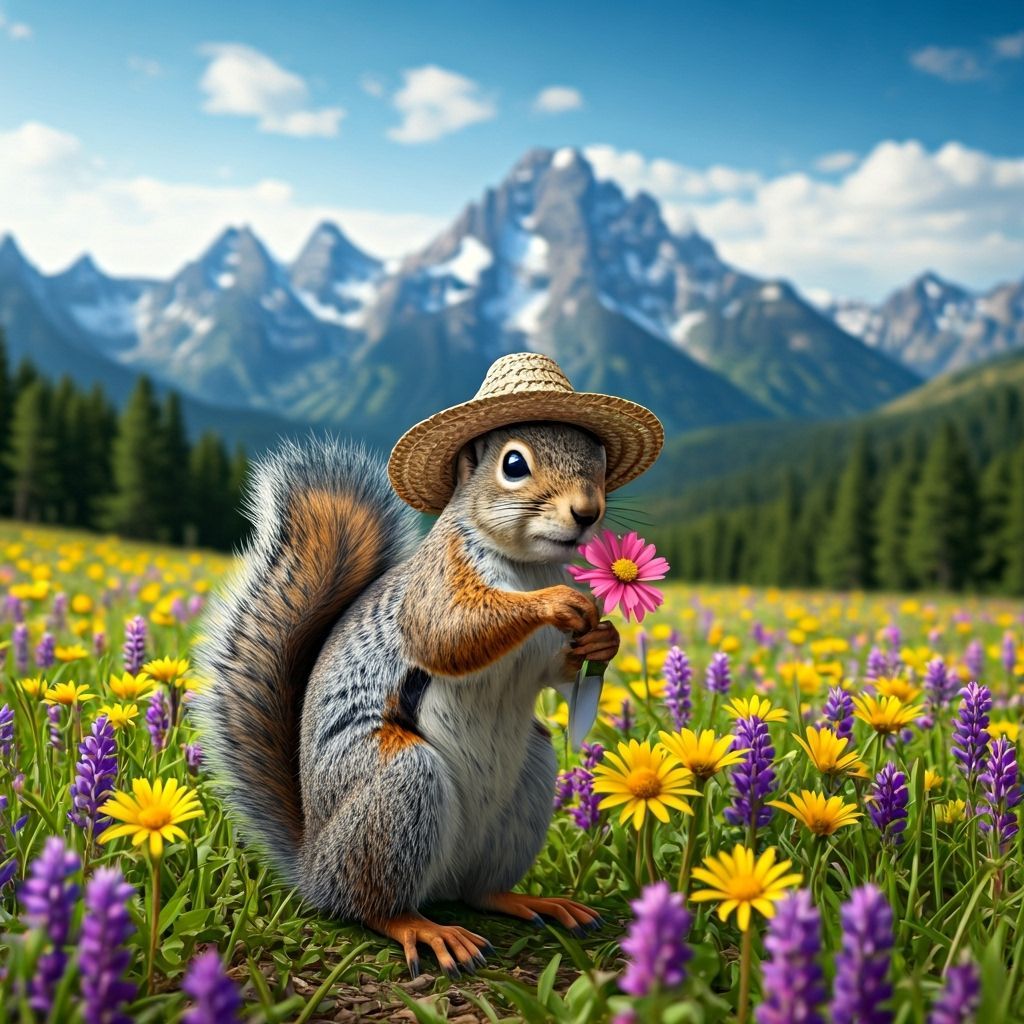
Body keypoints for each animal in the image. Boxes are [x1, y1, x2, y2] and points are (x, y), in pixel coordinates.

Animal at [194, 352, 663, 978]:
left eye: (602, 460)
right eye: (514, 464)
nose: (587, 513)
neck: (529, 566)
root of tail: (314, 866)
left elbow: (554, 672)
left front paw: (603, 640)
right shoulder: (437, 582)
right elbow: (446, 633)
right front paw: (558, 604)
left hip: (528, 780)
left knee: (479, 890)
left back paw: (529, 900)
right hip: (399, 786)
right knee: (375, 905)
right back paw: (425, 930)